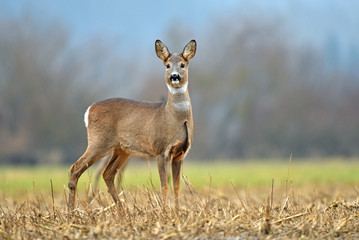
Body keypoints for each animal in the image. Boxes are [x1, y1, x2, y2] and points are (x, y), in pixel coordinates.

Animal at [67, 39, 197, 212]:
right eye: (167, 65)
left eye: (182, 64)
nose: (174, 76)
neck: (174, 118)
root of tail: (89, 110)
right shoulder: (161, 150)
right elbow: (164, 186)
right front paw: (164, 212)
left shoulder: (180, 154)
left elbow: (176, 186)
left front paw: (176, 212)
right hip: (99, 142)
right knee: (76, 168)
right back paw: (71, 211)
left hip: (121, 149)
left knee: (108, 174)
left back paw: (122, 211)